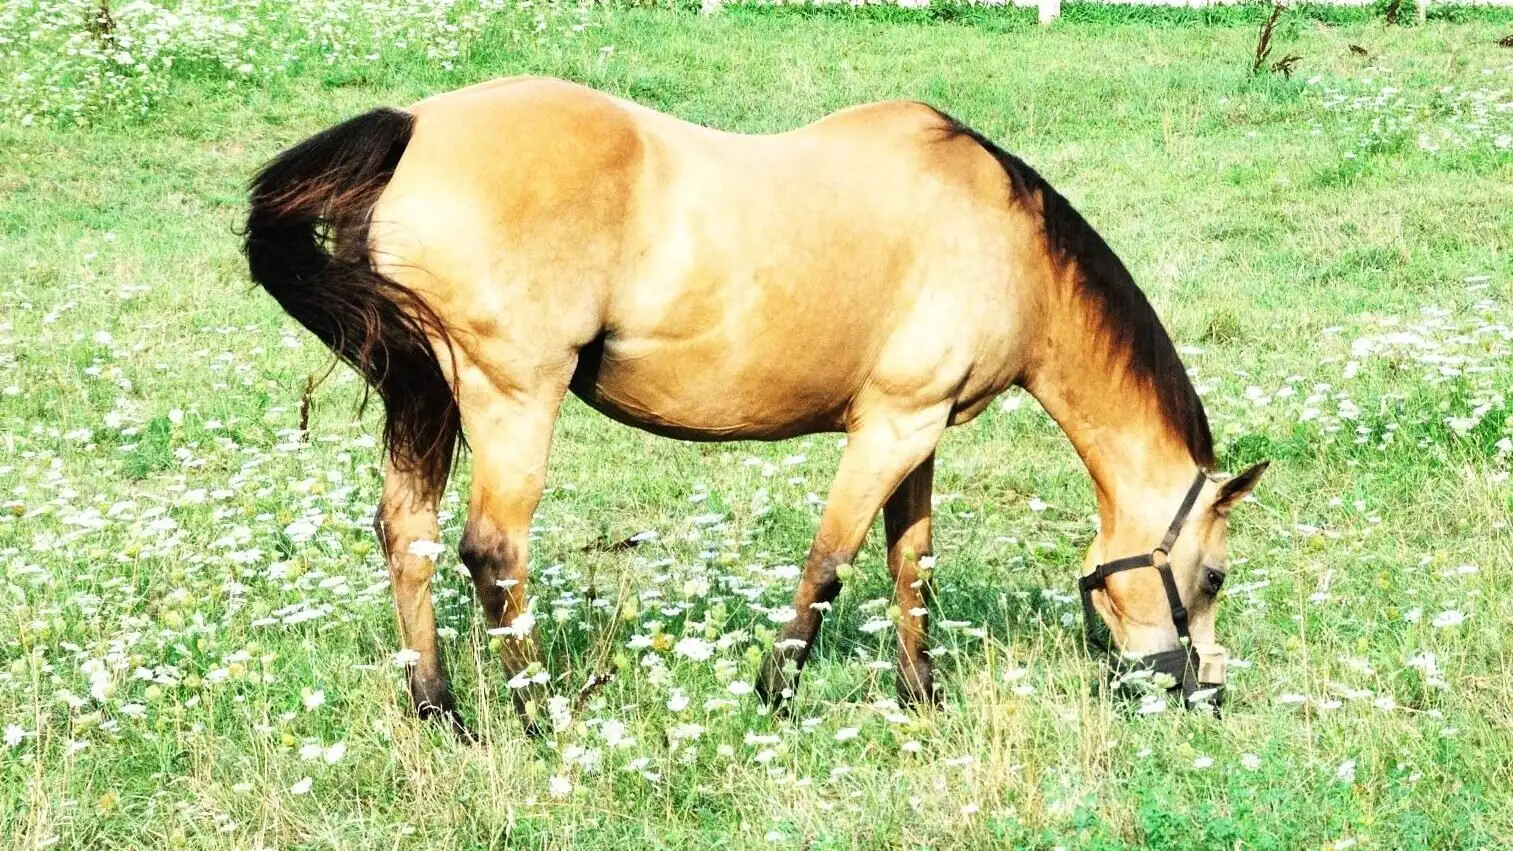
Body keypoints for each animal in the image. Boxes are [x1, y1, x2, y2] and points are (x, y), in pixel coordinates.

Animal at [244, 76, 1267, 735]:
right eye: (1213, 576)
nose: (1203, 693)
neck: (1003, 240)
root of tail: (414, 127)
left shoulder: (920, 430)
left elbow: (910, 564)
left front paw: (923, 698)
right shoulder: (889, 426)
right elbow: (830, 561)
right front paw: (775, 694)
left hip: (425, 396)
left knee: (406, 535)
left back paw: (439, 710)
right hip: (510, 395)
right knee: (492, 552)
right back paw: (538, 714)